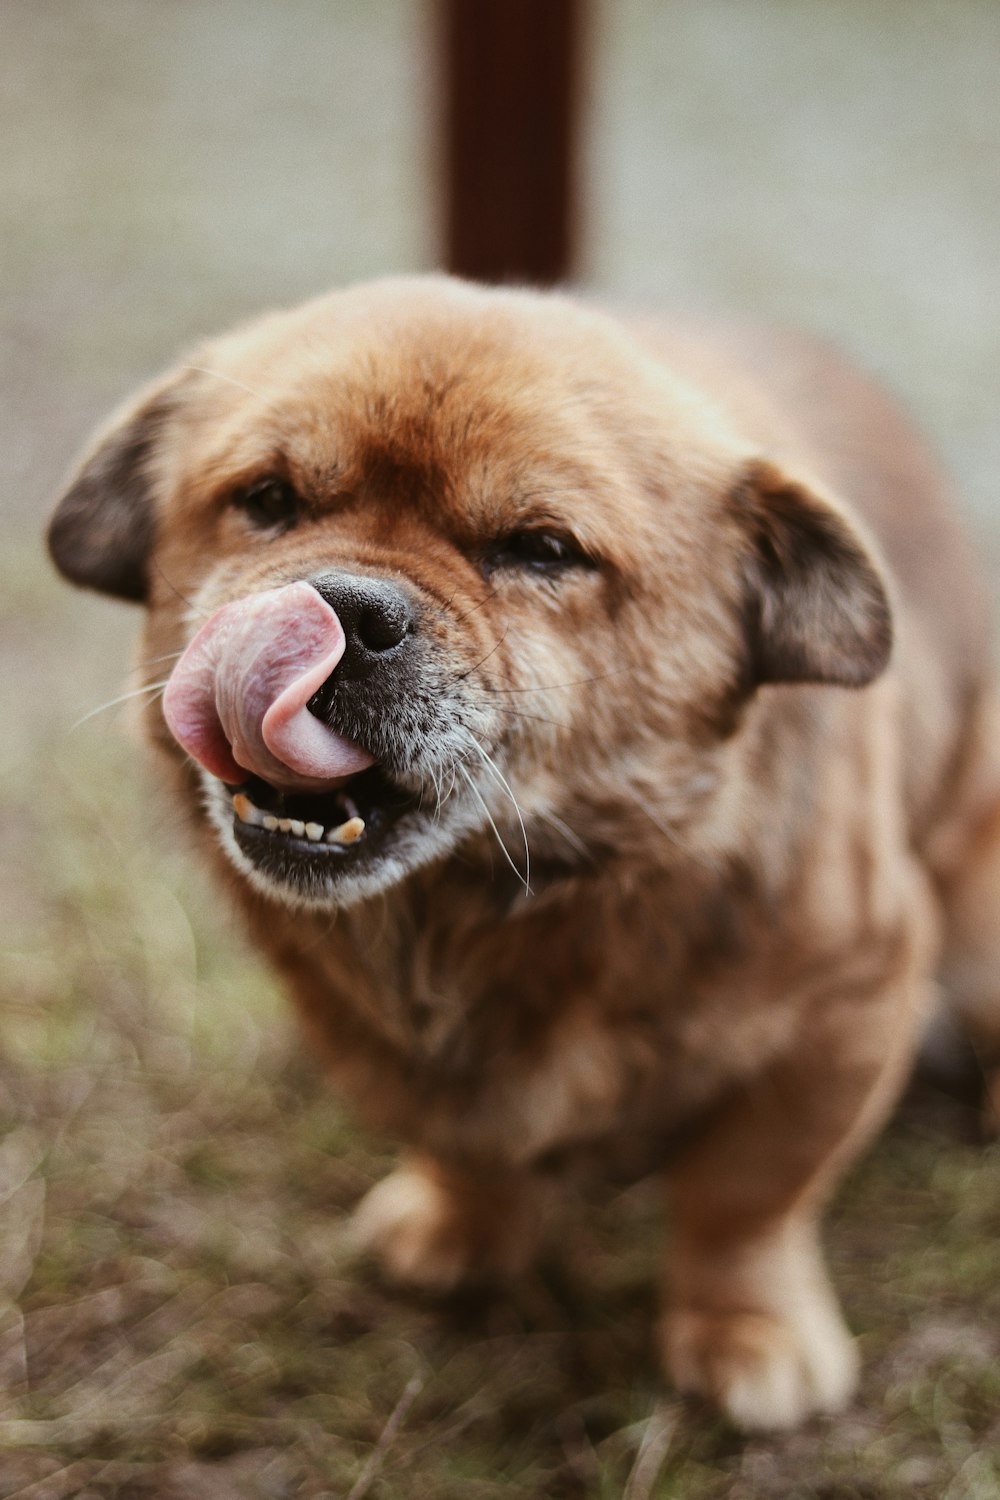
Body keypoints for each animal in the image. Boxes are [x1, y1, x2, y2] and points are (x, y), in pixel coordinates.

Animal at [46, 276, 1000, 1434]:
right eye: (267, 499)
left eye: (541, 550)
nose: (347, 606)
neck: (493, 914)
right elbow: (464, 1141)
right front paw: (465, 1225)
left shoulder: (850, 1009)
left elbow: (744, 1201)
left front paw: (746, 1327)